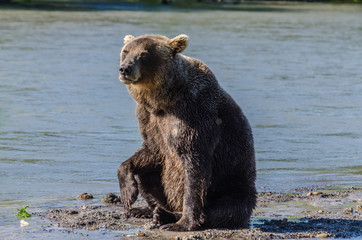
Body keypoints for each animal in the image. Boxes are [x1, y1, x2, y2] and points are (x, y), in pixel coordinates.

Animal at [117, 33, 256, 231]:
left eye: (144, 54)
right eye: (126, 51)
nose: (125, 69)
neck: (162, 101)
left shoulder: (194, 113)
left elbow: (193, 171)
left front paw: (183, 223)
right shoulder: (148, 119)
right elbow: (151, 149)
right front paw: (128, 193)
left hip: (235, 182)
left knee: (228, 206)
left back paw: (167, 216)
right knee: (147, 176)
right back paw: (148, 210)